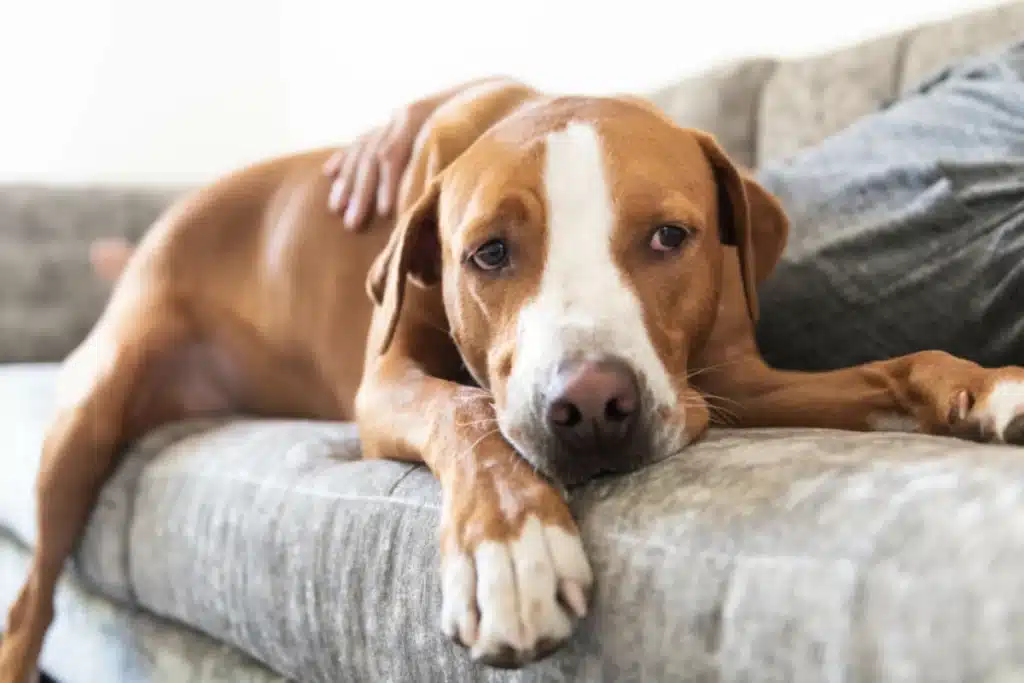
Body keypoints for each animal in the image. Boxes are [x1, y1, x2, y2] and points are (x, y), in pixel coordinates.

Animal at [6, 78, 1024, 679]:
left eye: (671, 236)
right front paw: (513, 548)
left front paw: (987, 384)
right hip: (84, 423)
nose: (594, 406)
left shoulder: (728, 383)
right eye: (487, 252)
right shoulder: (386, 387)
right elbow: (468, 412)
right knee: (30, 601)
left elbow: (897, 365)